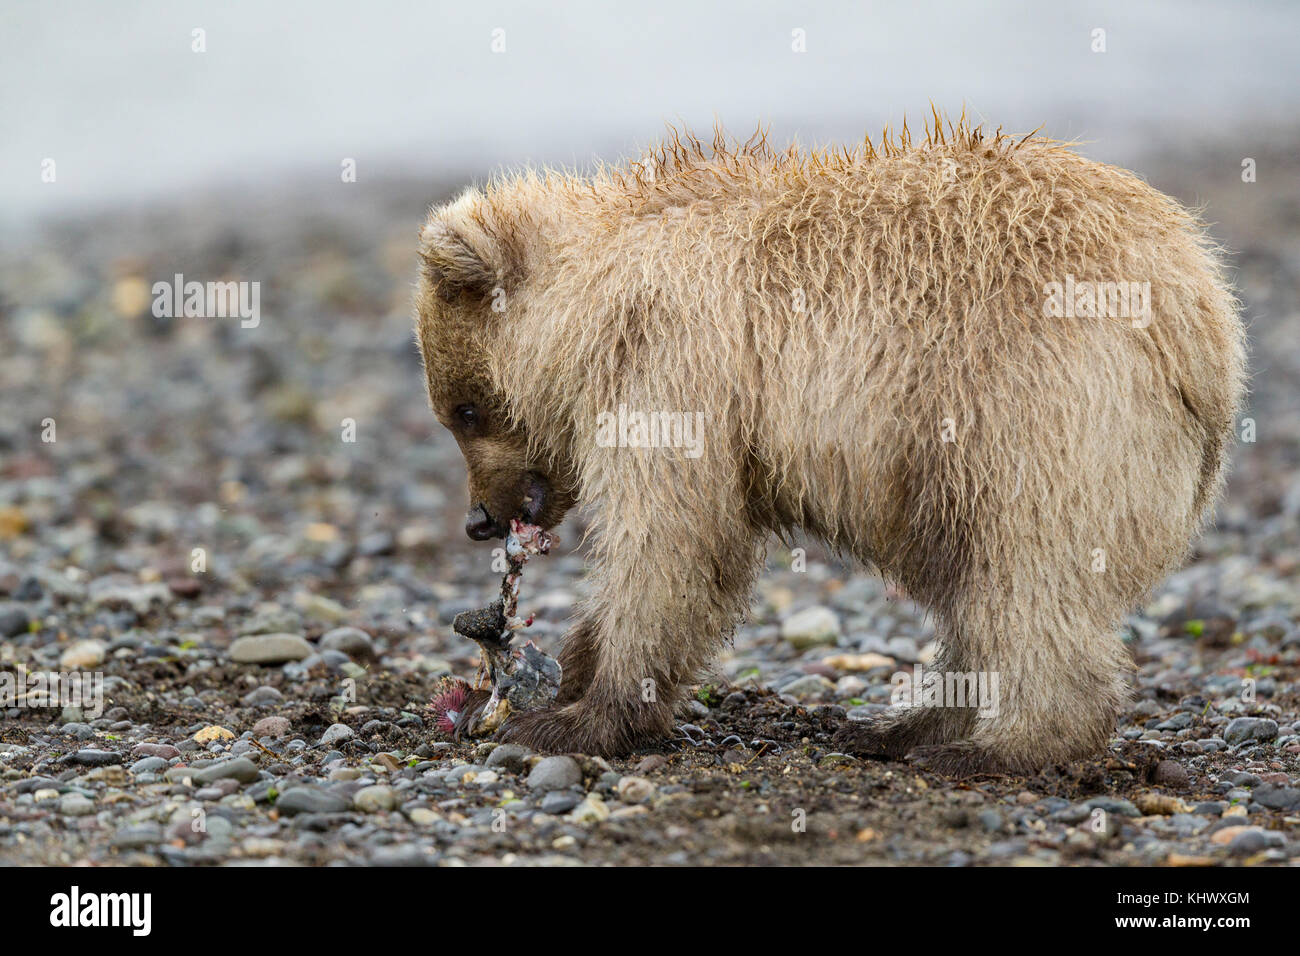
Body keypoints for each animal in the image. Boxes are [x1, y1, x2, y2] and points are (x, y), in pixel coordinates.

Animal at [414, 118, 1246, 774]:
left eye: (465, 409)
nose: (479, 519)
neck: (592, 303)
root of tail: (1203, 319)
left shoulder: (674, 362)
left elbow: (672, 541)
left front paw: (573, 716)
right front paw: (561, 679)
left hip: (1023, 409)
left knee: (1025, 570)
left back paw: (994, 747)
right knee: (979, 586)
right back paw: (907, 726)